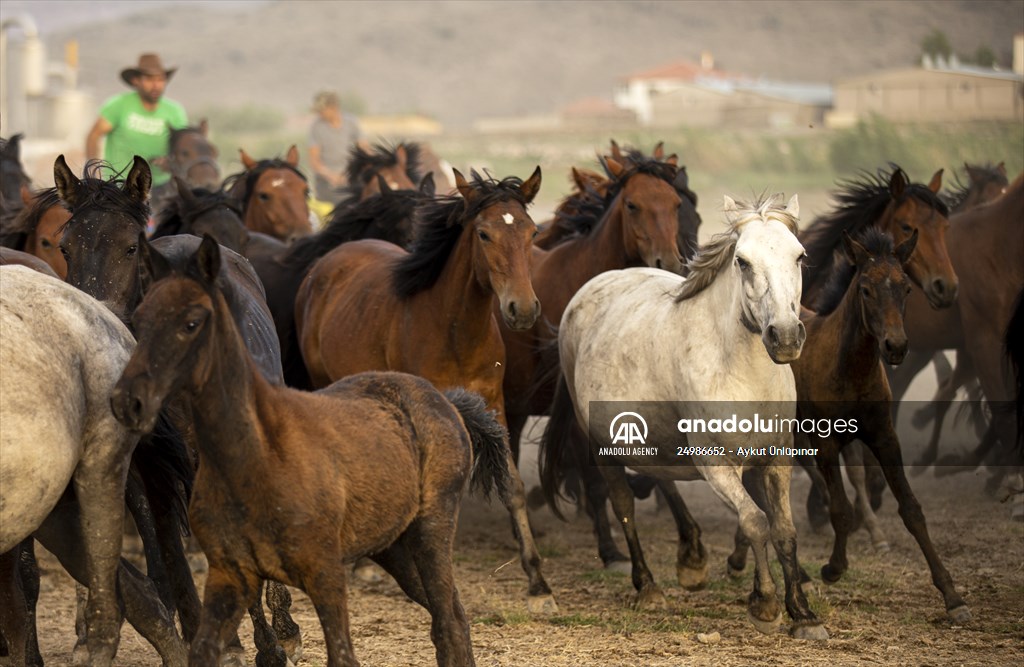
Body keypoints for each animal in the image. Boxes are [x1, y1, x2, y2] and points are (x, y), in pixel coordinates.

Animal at [112, 234, 512, 667]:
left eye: (192, 322)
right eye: (140, 320)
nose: (128, 399)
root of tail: (446, 401)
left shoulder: (324, 571)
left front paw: (280, 646)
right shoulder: (228, 570)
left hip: (431, 530)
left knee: (448, 618)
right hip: (394, 547)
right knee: (450, 614)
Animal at [295, 167, 560, 614]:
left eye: (531, 231)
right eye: (484, 234)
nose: (522, 309)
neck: (456, 331)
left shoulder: (493, 406)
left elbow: (512, 486)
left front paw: (539, 583)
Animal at [540, 194, 828, 640]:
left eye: (800, 256)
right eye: (742, 261)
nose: (784, 336)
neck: (742, 373)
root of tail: (584, 296)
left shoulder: (777, 460)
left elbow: (784, 530)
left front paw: (803, 614)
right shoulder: (717, 466)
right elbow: (755, 521)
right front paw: (764, 605)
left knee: (662, 478)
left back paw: (691, 558)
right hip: (606, 447)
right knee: (624, 505)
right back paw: (648, 588)